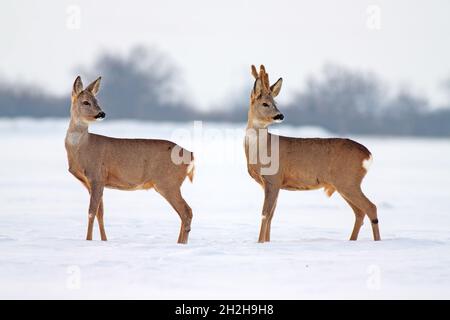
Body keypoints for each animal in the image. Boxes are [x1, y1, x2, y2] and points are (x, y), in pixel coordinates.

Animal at [64, 76, 193, 244]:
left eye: (96, 100)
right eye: (86, 102)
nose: (101, 113)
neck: (82, 148)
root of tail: (191, 155)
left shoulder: (97, 175)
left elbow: (91, 212)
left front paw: (88, 240)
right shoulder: (91, 181)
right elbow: (100, 213)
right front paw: (104, 240)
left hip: (168, 182)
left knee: (186, 211)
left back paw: (181, 244)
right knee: (184, 213)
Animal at [243, 65, 380, 242]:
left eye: (275, 103)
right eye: (265, 103)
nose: (280, 115)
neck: (261, 149)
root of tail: (368, 154)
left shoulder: (273, 178)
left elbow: (265, 214)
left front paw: (259, 242)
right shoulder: (271, 183)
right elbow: (271, 215)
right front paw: (267, 242)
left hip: (348, 180)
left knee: (371, 207)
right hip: (345, 183)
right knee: (360, 212)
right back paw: (351, 241)